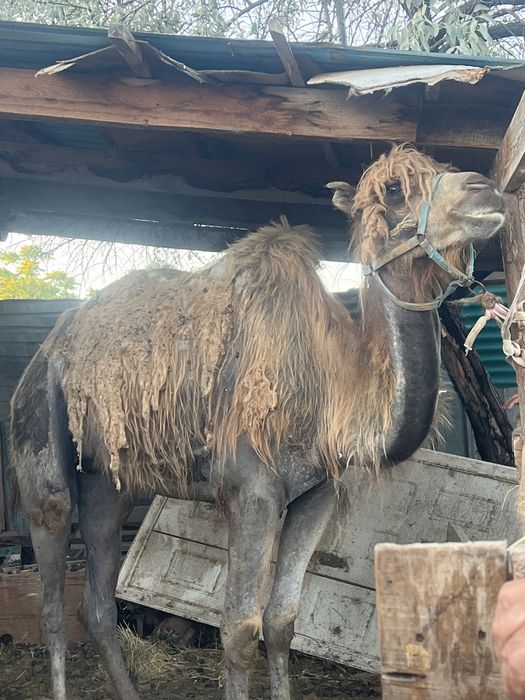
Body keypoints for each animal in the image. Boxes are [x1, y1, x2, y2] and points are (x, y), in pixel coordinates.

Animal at [10, 145, 504, 700]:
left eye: (445, 168)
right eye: (394, 190)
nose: (486, 189)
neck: (332, 390)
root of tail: (48, 348)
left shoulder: (316, 495)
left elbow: (283, 621)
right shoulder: (251, 492)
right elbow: (238, 631)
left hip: (107, 481)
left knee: (96, 603)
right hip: (43, 447)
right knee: (52, 596)